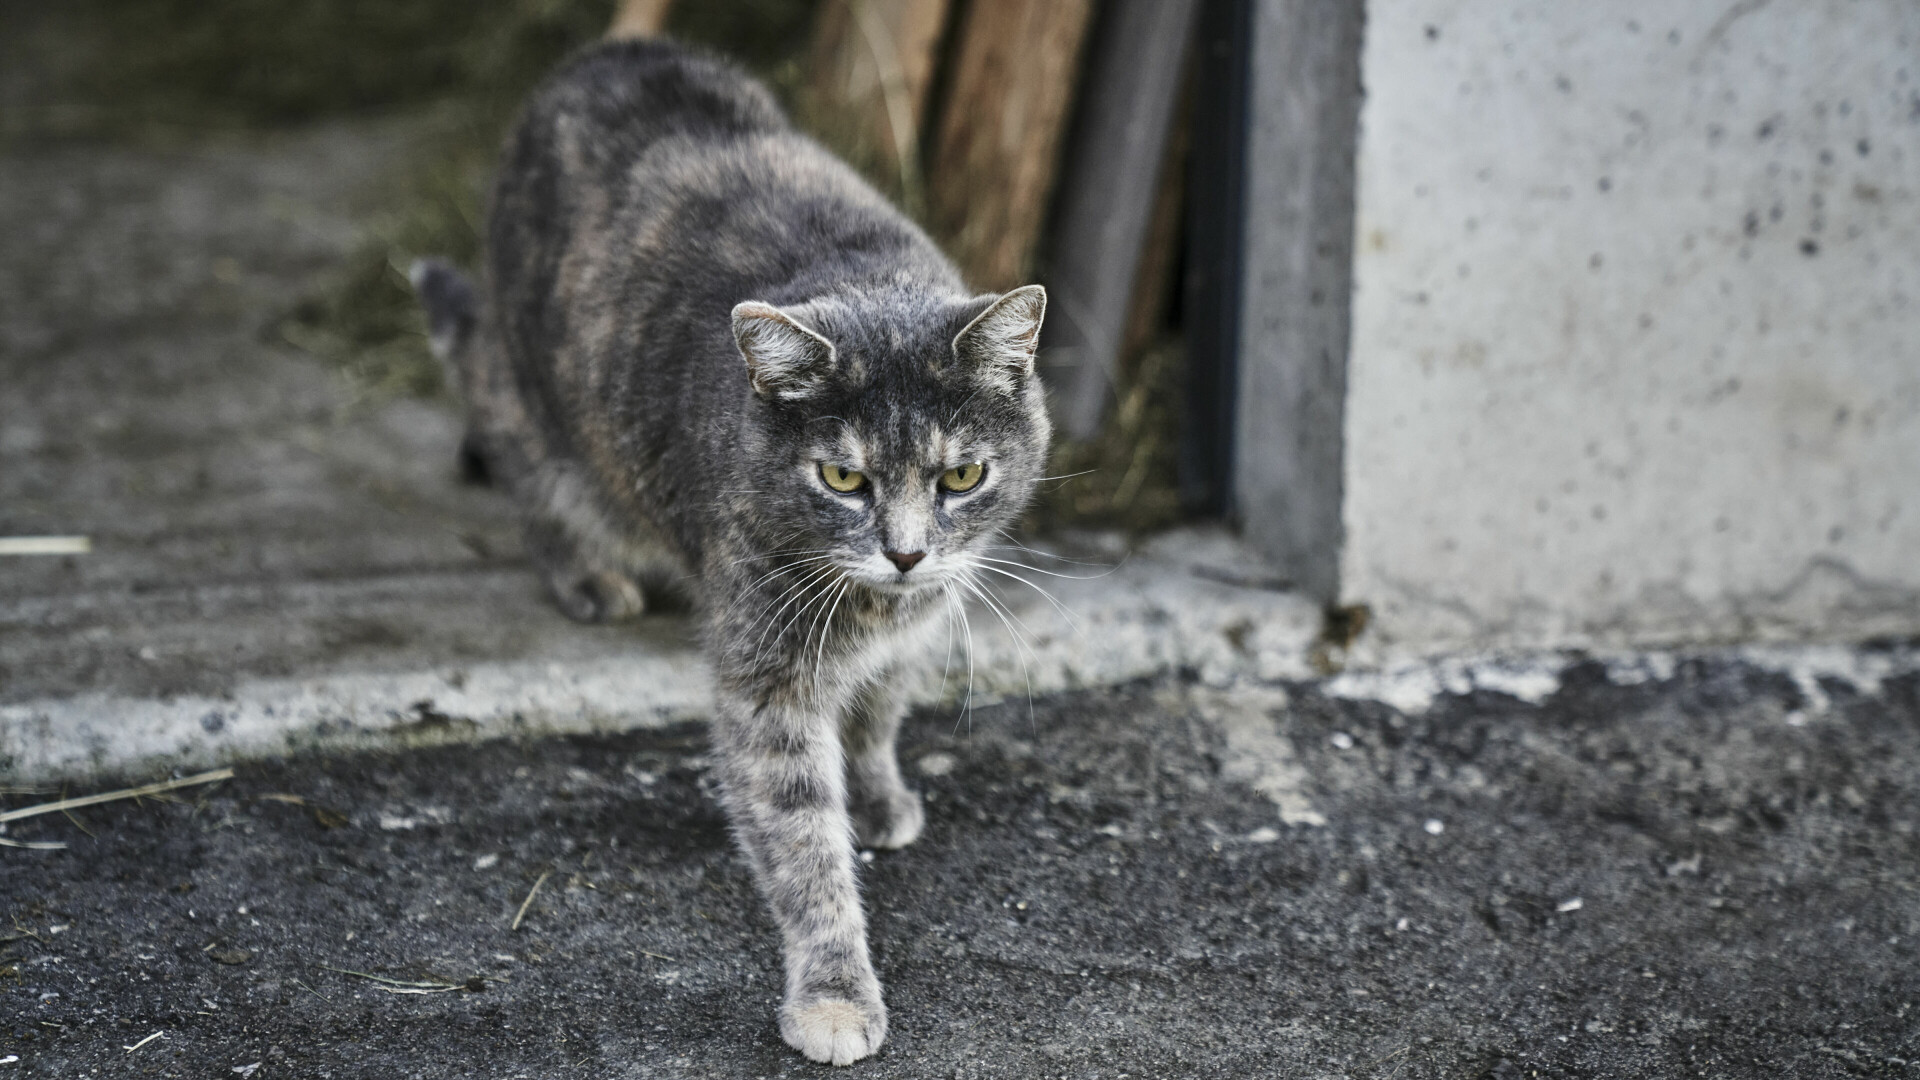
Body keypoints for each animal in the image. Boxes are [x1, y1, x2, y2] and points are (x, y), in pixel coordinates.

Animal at [412, 39, 1059, 1060]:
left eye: (961, 476)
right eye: (842, 479)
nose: (907, 555)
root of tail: (604, 52)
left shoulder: (914, 630)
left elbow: (879, 713)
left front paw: (879, 797)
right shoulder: (768, 685)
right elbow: (804, 845)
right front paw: (835, 996)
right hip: (542, 405)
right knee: (517, 449)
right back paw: (587, 572)